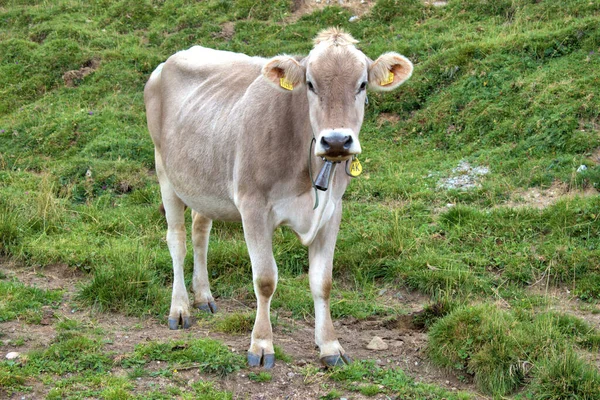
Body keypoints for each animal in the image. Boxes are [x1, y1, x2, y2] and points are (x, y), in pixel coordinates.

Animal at [144, 26, 412, 368]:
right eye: (310, 84)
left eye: (362, 84)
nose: (336, 140)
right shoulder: (253, 206)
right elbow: (265, 280)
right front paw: (261, 345)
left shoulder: (332, 211)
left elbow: (323, 282)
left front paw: (330, 346)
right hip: (164, 169)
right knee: (176, 239)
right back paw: (179, 308)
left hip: (203, 180)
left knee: (200, 231)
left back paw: (203, 296)